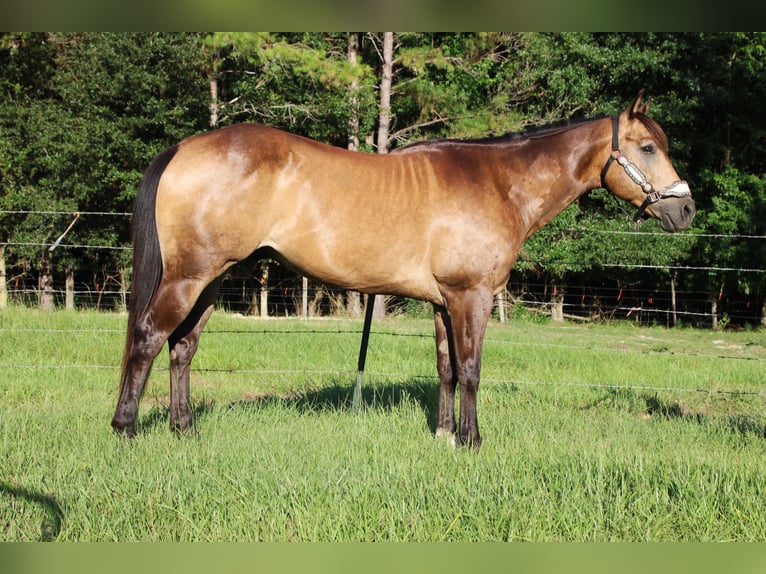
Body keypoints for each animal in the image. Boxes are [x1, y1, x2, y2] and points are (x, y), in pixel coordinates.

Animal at [111, 91, 695, 448]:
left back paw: (184, 429)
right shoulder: (471, 296)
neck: (500, 183)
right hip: (189, 276)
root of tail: (184, 147)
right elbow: (472, 369)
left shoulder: (443, 301)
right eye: (647, 147)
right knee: (148, 337)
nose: (686, 209)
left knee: (182, 347)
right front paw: (473, 441)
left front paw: (444, 437)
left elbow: (447, 369)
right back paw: (125, 428)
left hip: (212, 279)